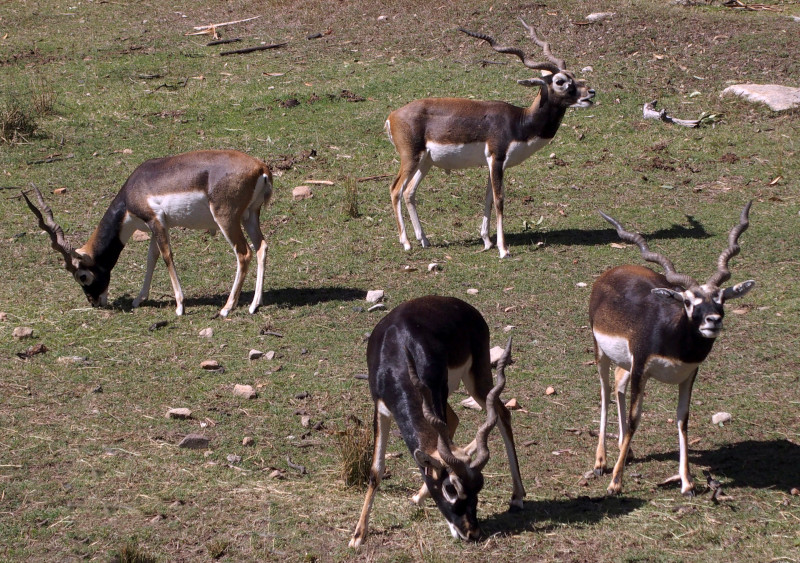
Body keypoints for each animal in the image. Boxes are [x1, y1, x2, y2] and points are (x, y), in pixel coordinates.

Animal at [22, 150, 272, 318]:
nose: (94, 302)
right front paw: (139, 299)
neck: (132, 192)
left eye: (82, 276)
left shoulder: (156, 221)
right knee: (261, 247)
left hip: (227, 219)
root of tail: (261, 168)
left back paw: (227, 308)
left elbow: (166, 257)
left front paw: (180, 306)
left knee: (244, 254)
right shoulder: (155, 227)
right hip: (250, 216)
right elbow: (151, 258)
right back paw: (254, 304)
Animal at [350, 298, 524, 548]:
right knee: (458, 419)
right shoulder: (381, 408)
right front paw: (358, 536)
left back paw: (517, 497)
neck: (397, 358)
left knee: (501, 413)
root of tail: (460, 304)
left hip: (476, 379)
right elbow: (376, 470)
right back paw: (418, 496)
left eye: (479, 486)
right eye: (450, 488)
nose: (471, 533)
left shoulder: (436, 392)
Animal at [384, 18, 596, 258]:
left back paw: (424, 240)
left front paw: (487, 241)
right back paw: (406, 242)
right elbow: (499, 199)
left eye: (573, 75)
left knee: (409, 192)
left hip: (426, 162)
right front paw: (503, 249)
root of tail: (393, 116)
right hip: (410, 158)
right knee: (395, 190)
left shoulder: (492, 164)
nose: (590, 93)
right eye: (560, 81)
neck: (519, 121)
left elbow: (487, 197)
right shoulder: (497, 158)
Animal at [588, 205, 756, 496]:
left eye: (721, 298)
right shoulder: (641, 369)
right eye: (688, 301)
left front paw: (687, 482)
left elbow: (682, 420)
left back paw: (625, 451)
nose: (713, 320)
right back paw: (601, 462)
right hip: (602, 354)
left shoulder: (688, 375)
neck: (673, 338)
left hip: (626, 363)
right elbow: (635, 419)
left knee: (618, 385)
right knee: (606, 391)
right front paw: (615, 483)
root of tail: (613, 271)